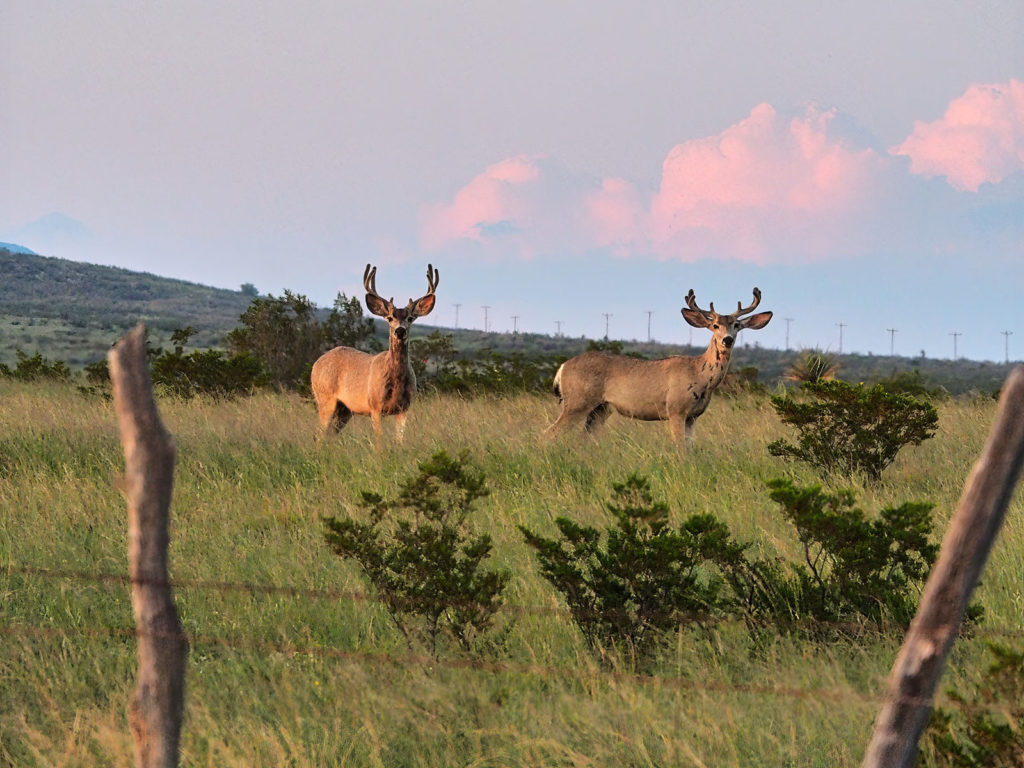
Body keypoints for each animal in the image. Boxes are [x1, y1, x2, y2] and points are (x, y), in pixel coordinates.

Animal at [311, 264, 440, 442]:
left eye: (410, 318)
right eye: (389, 317)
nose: (400, 331)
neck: (396, 381)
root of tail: (316, 364)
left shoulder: (404, 408)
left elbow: (399, 440)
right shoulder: (375, 406)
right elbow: (379, 440)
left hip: (345, 410)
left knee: (330, 433)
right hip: (325, 398)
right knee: (319, 434)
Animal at [544, 288, 770, 448]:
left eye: (737, 325)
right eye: (715, 325)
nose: (727, 340)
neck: (701, 374)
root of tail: (563, 367)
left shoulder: (693, 417)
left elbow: (691, 448)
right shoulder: (676, 409)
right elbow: (680, 448)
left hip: (601, 409)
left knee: (583, 437)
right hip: (577, 401)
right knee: (549, 433)